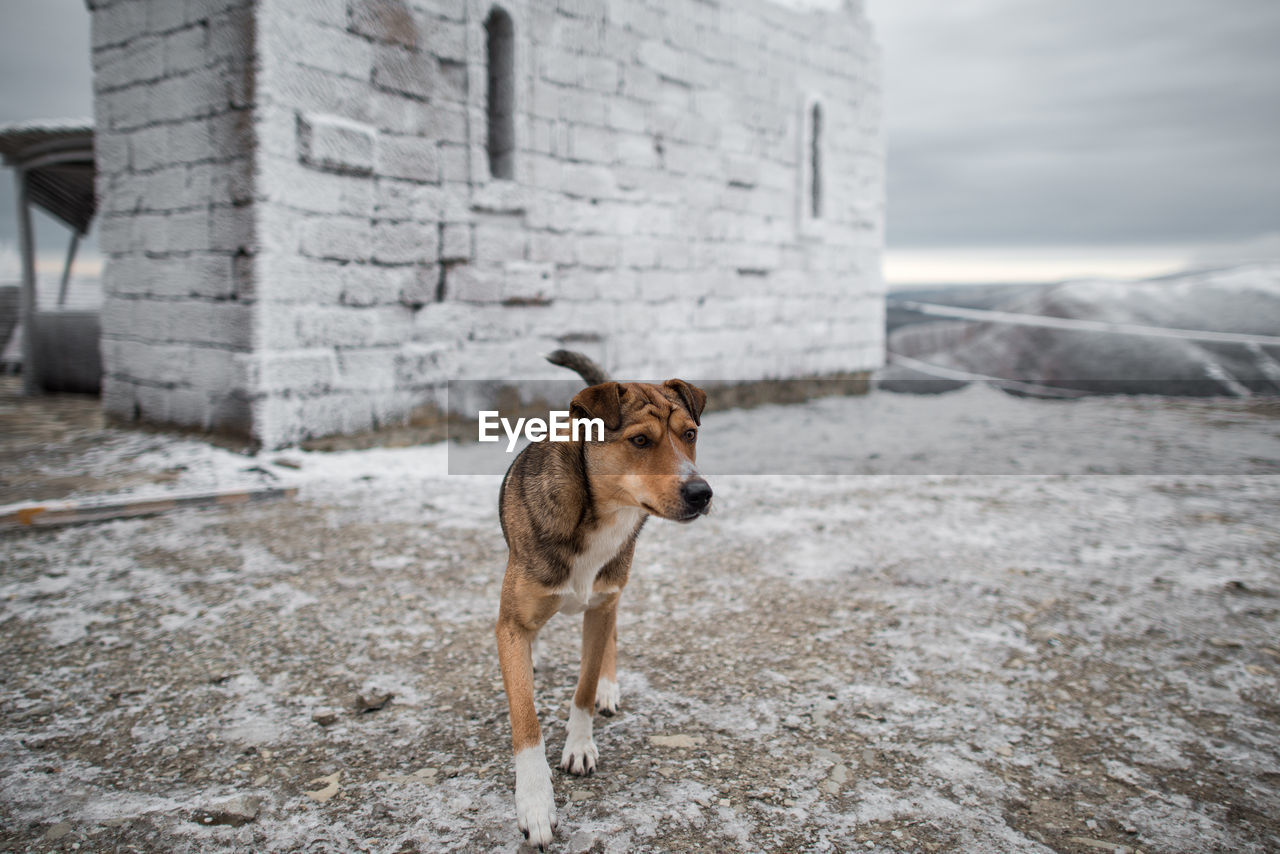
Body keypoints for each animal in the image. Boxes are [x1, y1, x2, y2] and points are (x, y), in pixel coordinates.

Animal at [494, 348, 711, 850]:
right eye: (640, 440)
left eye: (689, 435)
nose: (702, 492)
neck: (599, 513)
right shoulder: (511, 623)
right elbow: (525, 718)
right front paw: (535, 803)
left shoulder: (602, 605)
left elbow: (584, 687)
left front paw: (579, 744)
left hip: (614, 590)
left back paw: (610, 687)